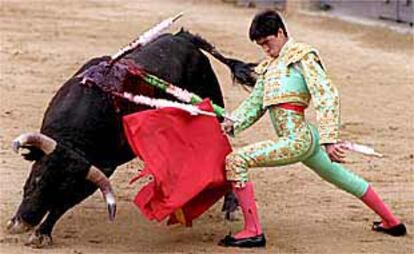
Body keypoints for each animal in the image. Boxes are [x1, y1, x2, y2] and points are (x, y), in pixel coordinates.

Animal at [8, 30, 252, 247]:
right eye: (36, 179)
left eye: (65, 191)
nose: (24, 222)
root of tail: (184, 38)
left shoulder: (102, 169)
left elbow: (63, 206)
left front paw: (42, 233)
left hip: (211, 110)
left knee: (224, 150)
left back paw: (230, 207)